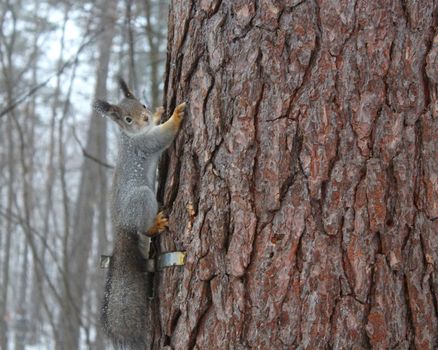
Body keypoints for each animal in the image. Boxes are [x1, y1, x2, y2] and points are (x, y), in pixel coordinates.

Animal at [93, 78, 186, 350]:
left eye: (142, 104)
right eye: (127, 119)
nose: (145, 117)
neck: (130, 136)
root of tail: (121, 226)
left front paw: (159, 113)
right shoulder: (144, 144)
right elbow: (162, 136)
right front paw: (174, 117)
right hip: (142, 198)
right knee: (142, 227)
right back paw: (155, 224)